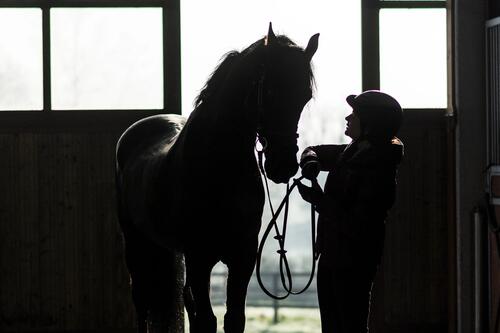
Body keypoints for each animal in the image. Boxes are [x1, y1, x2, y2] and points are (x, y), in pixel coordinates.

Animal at [114, 24, 318, 332]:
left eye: (304, 97)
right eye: (270, 90)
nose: (283, 166)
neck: (220, 165)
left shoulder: (242, 256)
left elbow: (233, 318)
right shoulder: (200, 256)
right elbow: (207, 321)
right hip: (137, 242)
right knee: (142, 300)